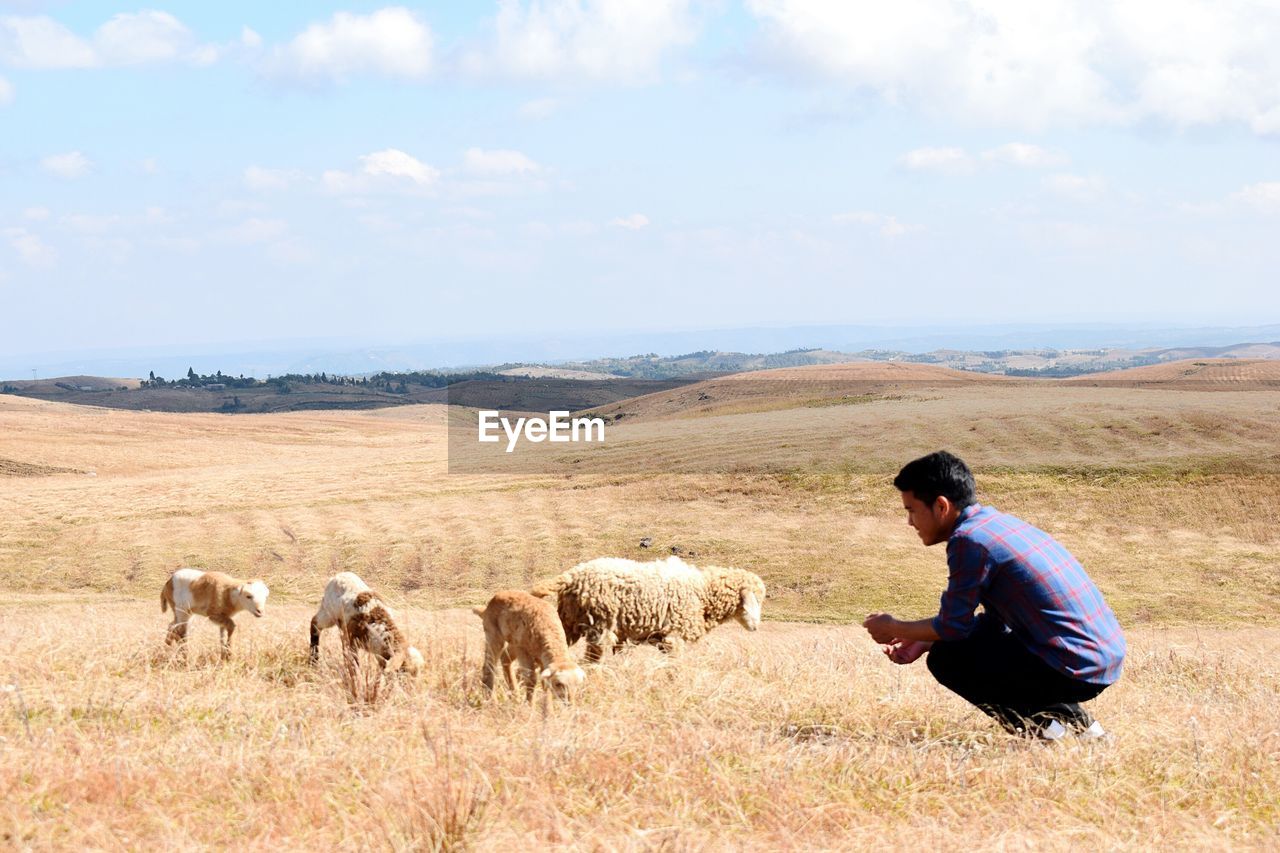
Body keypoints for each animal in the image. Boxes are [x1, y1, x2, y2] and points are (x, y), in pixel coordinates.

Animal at [532, 555, 762, 660]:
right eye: (754, 600)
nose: (755, 627)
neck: (702, 591)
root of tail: (571, 575)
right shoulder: (673, 636)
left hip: (569, 621)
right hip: (598, 625)